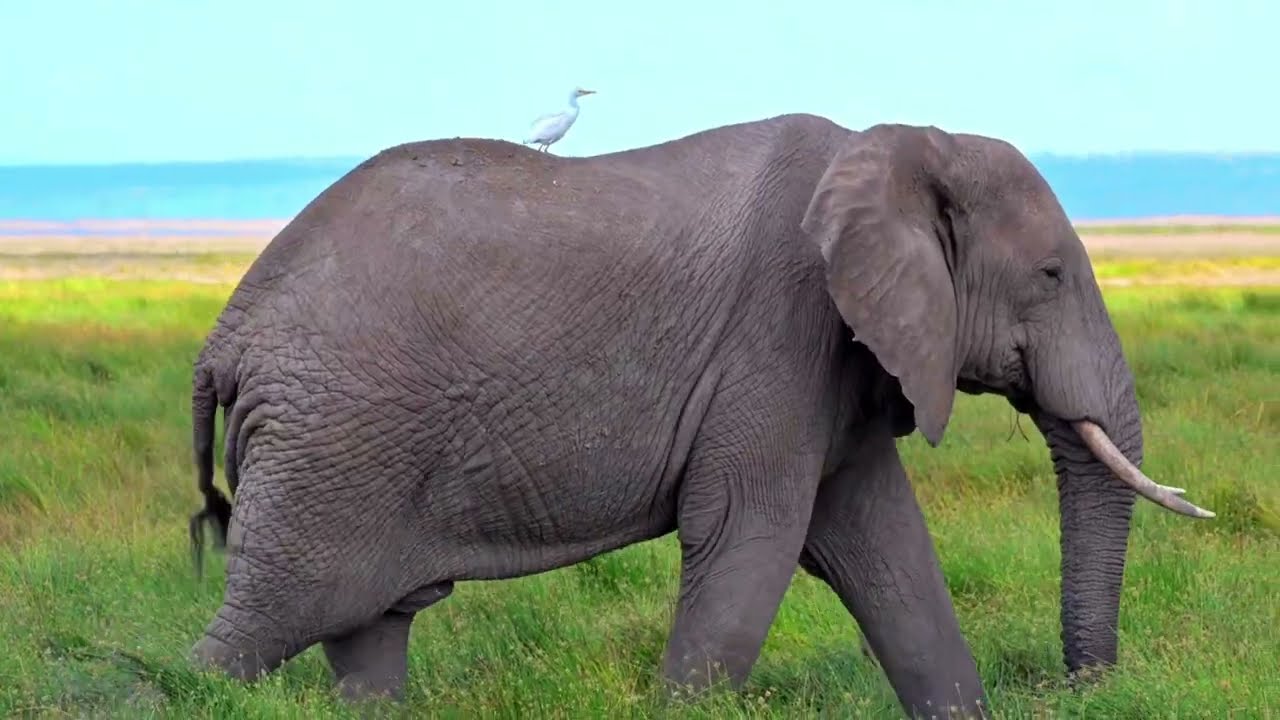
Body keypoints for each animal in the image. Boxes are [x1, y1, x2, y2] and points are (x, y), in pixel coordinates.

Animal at [185, 113, 1213, 719]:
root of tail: (226, 333)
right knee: (260, 629)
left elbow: (886, 550)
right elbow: (751, 539)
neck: (899, 142)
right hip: (330, 438)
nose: (1089, 689)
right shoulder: (782, 330)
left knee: (367, 632)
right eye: (1051, 275)